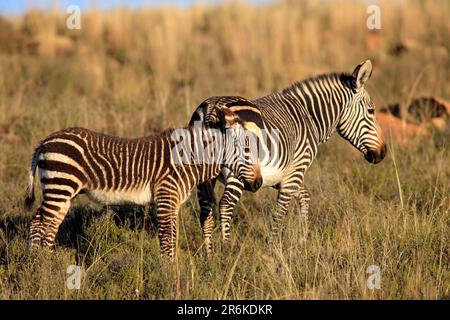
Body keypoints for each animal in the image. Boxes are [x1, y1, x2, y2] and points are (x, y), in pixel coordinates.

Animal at [24, 106, 262, 258]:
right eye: (247, 150)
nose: (258, 184)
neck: (189, 158)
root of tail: (45, 141)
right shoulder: (166, 197)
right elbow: (167, 240)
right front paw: (168, 276)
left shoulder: (172, 203)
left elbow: (172, 238)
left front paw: (172, 272)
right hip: (59, 185)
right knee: (40, 223)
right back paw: (40, 266)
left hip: (63, 192)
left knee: (47, 224)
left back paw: (47, 262)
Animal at [190, 58, 386, 251]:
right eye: (371, 111)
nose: (383, 153)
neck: (310, 117)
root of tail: (212, 108)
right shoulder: (296, 169)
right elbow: (280, 212)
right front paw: (274, 250)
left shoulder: (282, 175)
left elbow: (304, 197)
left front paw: (303, 239)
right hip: (239, 169)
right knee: (225, 206)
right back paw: (226, 251)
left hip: (203, 171)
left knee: (206, 210)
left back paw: (209, 255)